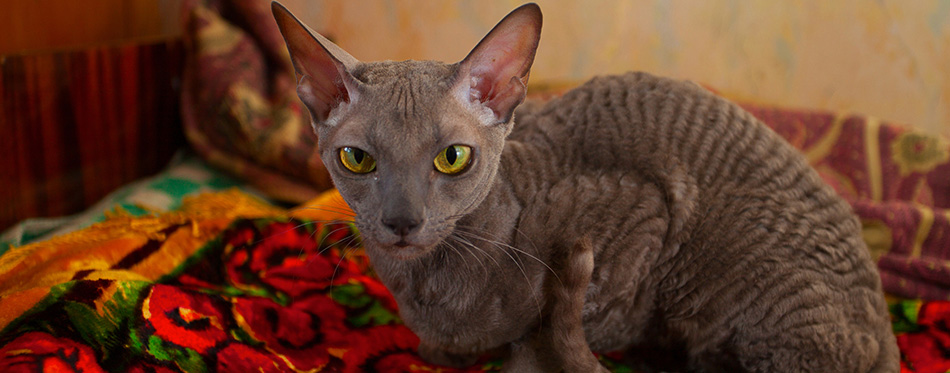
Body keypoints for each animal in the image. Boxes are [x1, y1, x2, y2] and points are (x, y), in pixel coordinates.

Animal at [274, 2, 900, 372]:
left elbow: (549, 330)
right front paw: (442, 351)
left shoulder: (641, 218)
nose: (402, 221)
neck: (426, 287)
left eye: (453, 158)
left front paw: (520, 354)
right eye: (357, 159)